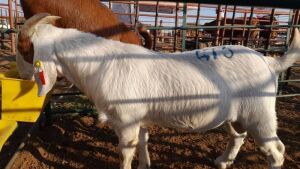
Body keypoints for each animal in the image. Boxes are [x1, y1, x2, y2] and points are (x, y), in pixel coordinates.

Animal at [23, 13, 300, 169]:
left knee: (277, 151)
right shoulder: (140, 119)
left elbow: (125, 153)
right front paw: (145, 165)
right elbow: (144, 143)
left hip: (261, 115)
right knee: (238, 137)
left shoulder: (126, 121)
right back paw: (223, 162)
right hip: (237, 116)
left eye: (28, 46)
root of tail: (269, 61)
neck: (100, 64)